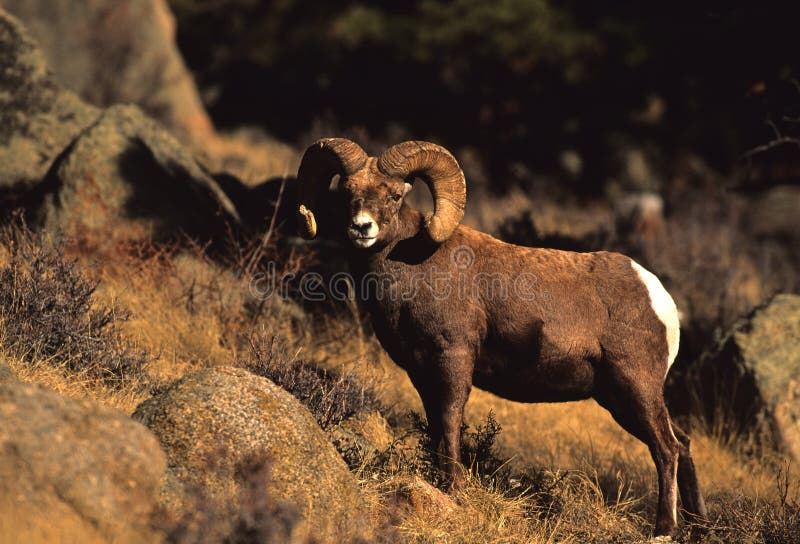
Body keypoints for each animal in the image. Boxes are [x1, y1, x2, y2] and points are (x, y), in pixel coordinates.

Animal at [295, 138, 707, 537]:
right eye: (347, 192)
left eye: (395, 195)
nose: (361, 228)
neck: (411, 268)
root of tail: (659, 299)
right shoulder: (420, 372)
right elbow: (434, 428)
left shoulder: (454, 359)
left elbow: (449, 423)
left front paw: (455, 490)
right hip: (620, 397)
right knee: (683, 444)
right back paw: (699, 526)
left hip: (634, 387)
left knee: (667, 448)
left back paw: (664, 529)